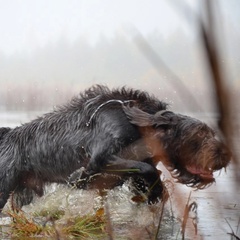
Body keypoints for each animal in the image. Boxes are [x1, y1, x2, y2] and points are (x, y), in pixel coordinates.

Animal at [0, 84, 231, 210]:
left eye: (211, 132)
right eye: (199, 133)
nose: (226, 154)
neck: (137, 124)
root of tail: (6, 136)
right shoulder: (100, 159)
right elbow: (147, 169)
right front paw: (157, 192)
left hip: (24, 192)